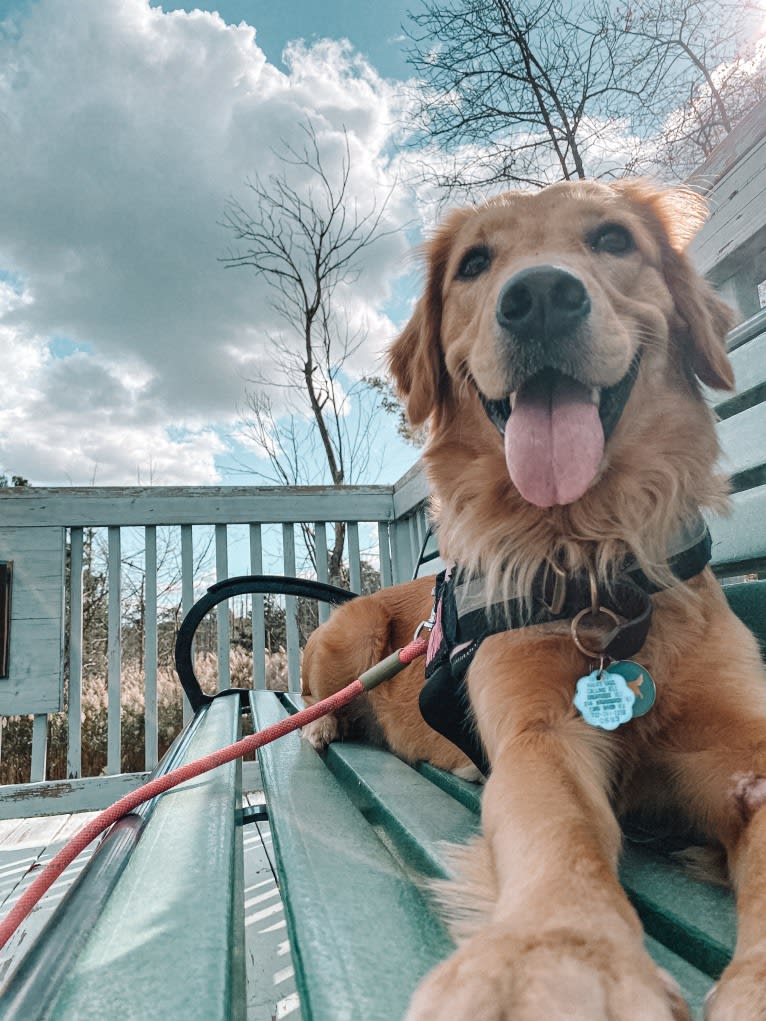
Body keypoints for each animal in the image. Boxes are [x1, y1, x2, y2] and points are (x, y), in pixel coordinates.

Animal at [300, 183, 766, 1021]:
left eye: (613, 239)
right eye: (475, 262)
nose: (541, 296)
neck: (595, 567)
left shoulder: (746, 745)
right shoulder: (537, 733)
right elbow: (561, 830)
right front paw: (559, 958)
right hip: (347, 636)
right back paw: (324, 727)